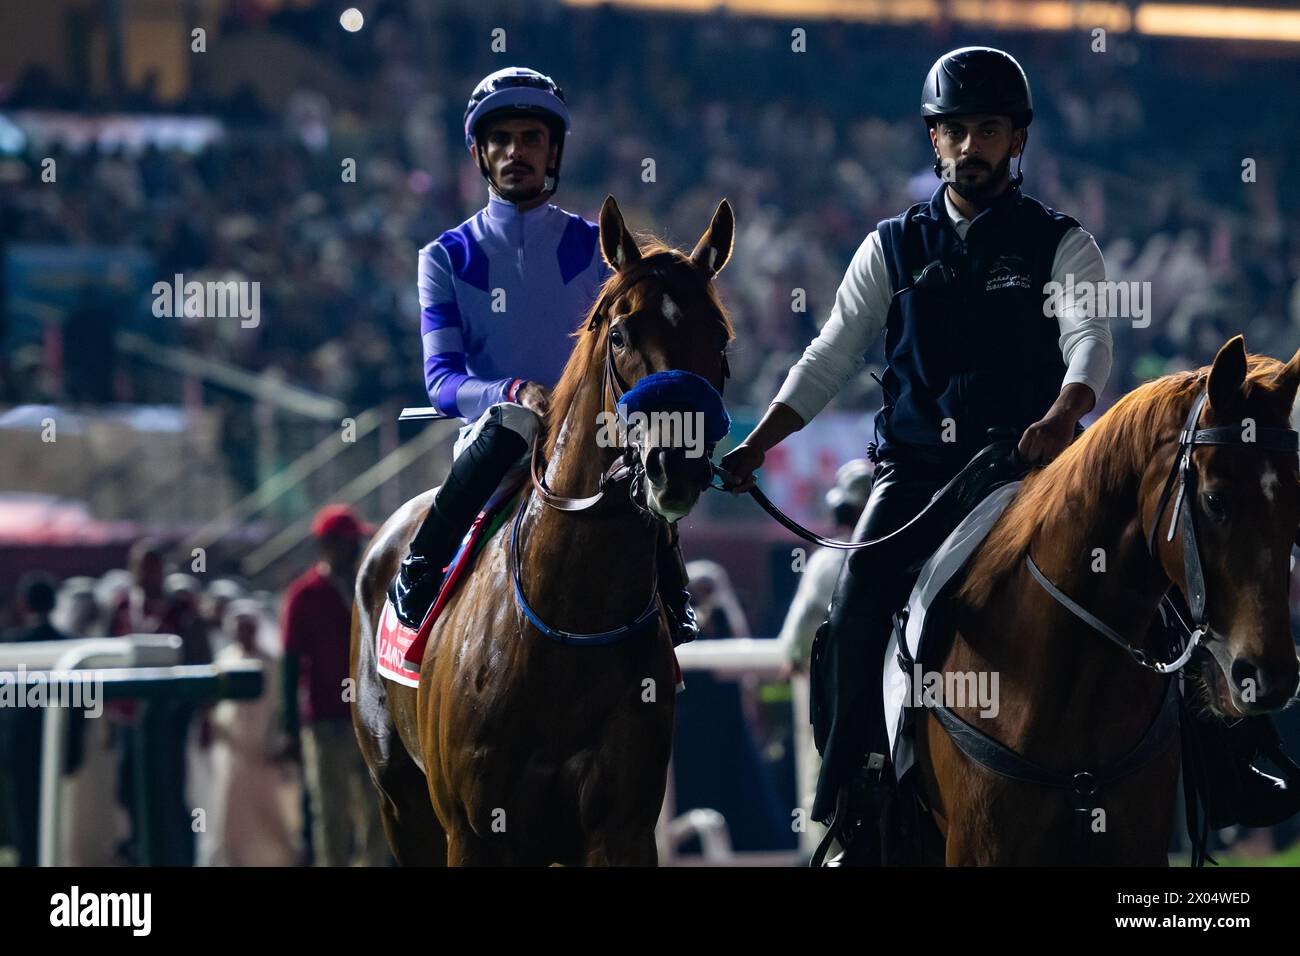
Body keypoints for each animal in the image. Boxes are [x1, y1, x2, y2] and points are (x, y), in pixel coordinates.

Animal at [348, 196, 733, 868]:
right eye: (621, 333)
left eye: (717, 335)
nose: (676, 464)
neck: (568, 622)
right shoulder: (474, 833)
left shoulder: (621, 829)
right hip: (400, 801)